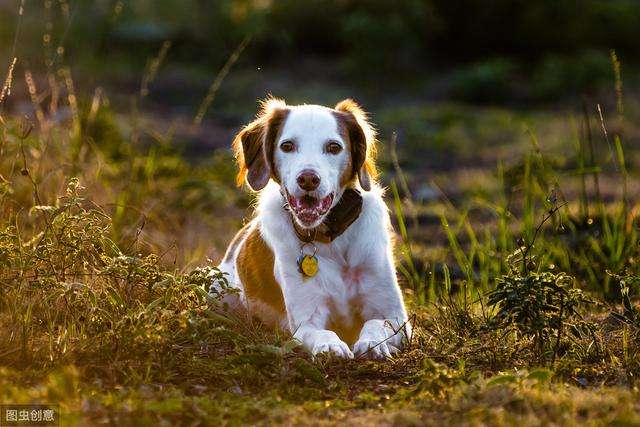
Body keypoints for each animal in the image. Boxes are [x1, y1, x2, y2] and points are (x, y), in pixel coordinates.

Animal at [212, 98, 408, 360]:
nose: (307, 179)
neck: (330, 237)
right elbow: (322, 332)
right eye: (287, 146)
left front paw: (373, 343)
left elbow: (375, 323)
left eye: (334, 147)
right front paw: (331, 347)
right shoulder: (306, 321)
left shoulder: (396, 317)